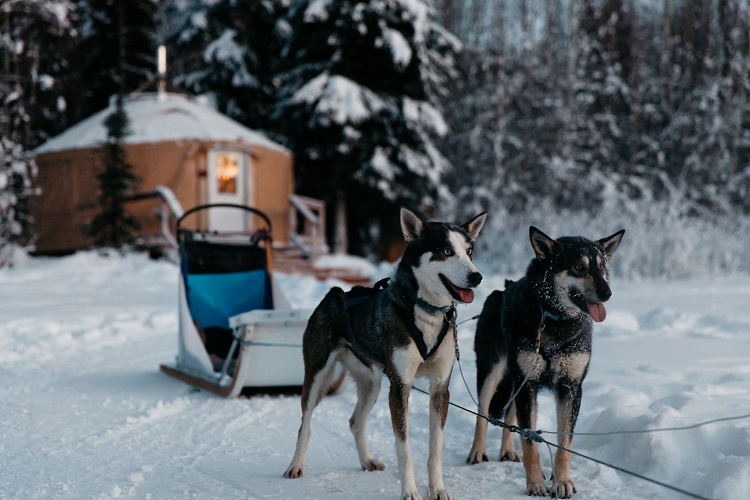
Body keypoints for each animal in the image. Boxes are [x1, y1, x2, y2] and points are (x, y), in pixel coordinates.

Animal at [284, 208, 490, 500]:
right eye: (447, 251)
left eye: (470, 251)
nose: (476, 277)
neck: (426, 311)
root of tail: (336, 294)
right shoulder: (400, 388)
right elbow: (405, 451)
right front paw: (410, 491)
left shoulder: (440, 389)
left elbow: (435, 451)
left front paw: (437, 489)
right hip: (317, 377)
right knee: (305, 423)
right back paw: (296, 465)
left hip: (373, 384)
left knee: (355, 422)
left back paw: (367, 460)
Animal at [470, 229, 624, 498]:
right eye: (579, 267)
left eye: (602, 267)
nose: (607, 293)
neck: (557, 322)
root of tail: (501, 290)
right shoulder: (528, 385)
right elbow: (529, 440)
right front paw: (534, 483)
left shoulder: (570, 388)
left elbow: (564, 443)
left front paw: (562, 482)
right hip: (492, 374)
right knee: (482, 411)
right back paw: (478, 451)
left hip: (517, 382)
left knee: (510, 417)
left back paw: (507, 450)